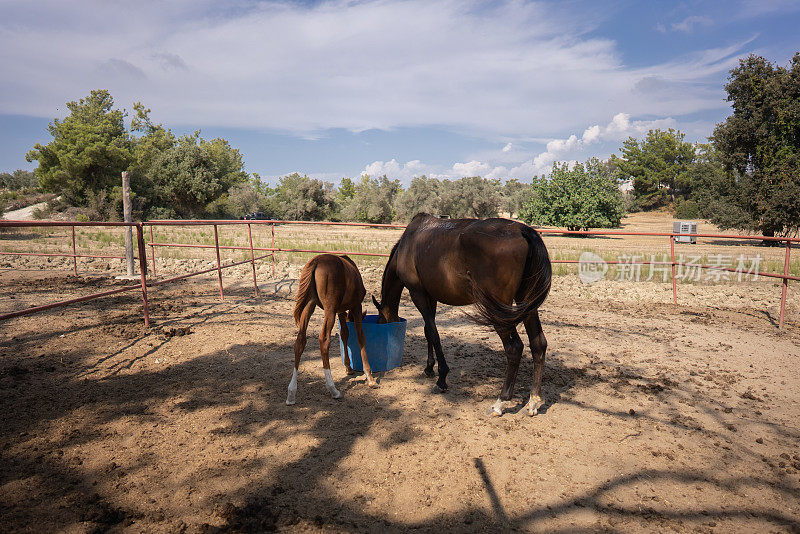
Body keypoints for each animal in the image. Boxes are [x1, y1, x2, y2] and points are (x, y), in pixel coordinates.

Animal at [286, 255, 376, 406]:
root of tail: (316, 261)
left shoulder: (341, 311)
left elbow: (345, 334)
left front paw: (348, 368)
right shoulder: (356, 306)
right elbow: (360, 336)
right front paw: (369, 377)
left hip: (310, 304)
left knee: (300, 341)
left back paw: (291, 393)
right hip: (330, 309)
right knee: (324, 339)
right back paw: (333, 389)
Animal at [374, 215, 552, 418]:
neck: (409, 242)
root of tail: (522, 230)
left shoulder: (417, 293)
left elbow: (434, 334)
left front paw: (442, 378)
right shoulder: (430, 297)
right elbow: (428, 331)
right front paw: (429, 368)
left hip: (500, 311)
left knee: (514, 348)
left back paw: (500, 402)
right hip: (526, 302)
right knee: (538, 344)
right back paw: (534, 400)